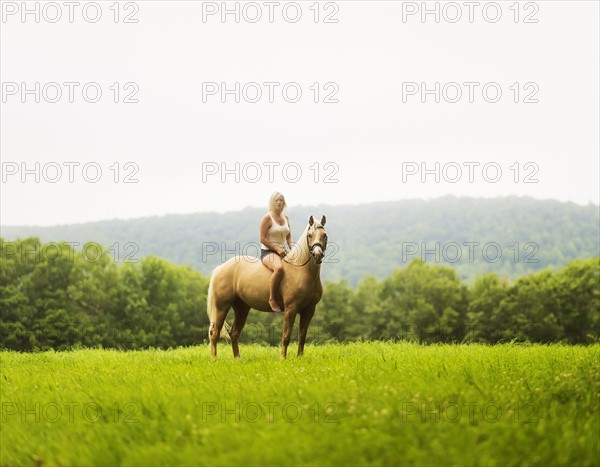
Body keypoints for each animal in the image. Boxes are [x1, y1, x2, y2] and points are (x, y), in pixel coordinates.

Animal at [207, 214, 328, 360]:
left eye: (324, 235)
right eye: (310, 235)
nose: (317, 254)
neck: (301, 270)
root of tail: (220, 268)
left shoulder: (309, 310)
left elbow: (302, 337)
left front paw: (299, 358)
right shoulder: (291, 309)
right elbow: (286, 336)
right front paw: (283, 359)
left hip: (242, 308)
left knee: (234, 333)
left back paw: (237, 359)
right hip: (222, 307)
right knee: (215, 333)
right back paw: (214, 360)